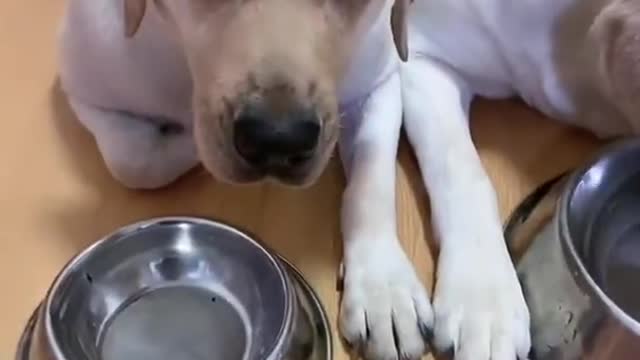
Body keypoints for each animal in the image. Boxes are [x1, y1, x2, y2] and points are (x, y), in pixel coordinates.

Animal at [58, 0, 640, 360]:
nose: (278, 139)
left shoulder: (384, 78)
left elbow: (371, 184)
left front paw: (383, 288)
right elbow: (136, 159)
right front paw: (486, 300)